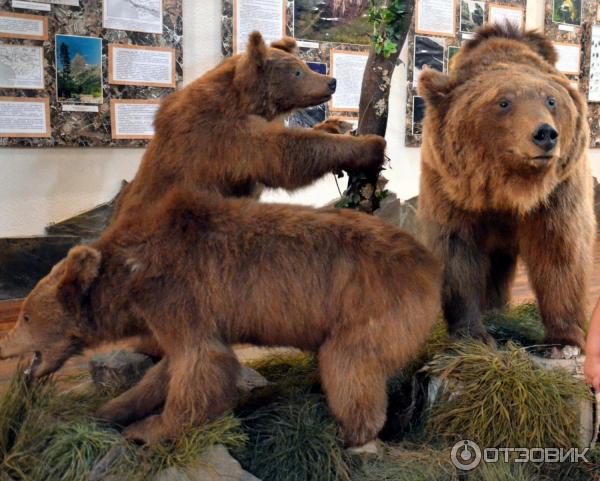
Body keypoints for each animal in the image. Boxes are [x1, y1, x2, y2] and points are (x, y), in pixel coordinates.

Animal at [0, 188, 440, 446]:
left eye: (26, 317)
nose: (5, 346)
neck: (130, 276)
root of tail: (428, 261)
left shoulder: (175, 293)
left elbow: (201, 362)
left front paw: (151, 429)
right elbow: (167, 369)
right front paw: (112, 409)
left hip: (375, 307)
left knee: (351, 364)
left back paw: (350, 433)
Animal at [115, 31, 386, 217]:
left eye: (303, 65)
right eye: (298, 72)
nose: (331, 81)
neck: (246, 102)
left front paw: (336, 124)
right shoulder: (222, 137)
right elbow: (285, 154)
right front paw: (370, 145)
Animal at [420, 23, 592, 348]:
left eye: (551, 100)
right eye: (503, 102)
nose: (545, 134)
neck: (509, 187)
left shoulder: (557, 193)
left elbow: (559, 251)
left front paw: (563, 340)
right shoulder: (451, 189)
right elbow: (459, 253)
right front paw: (471, 332)